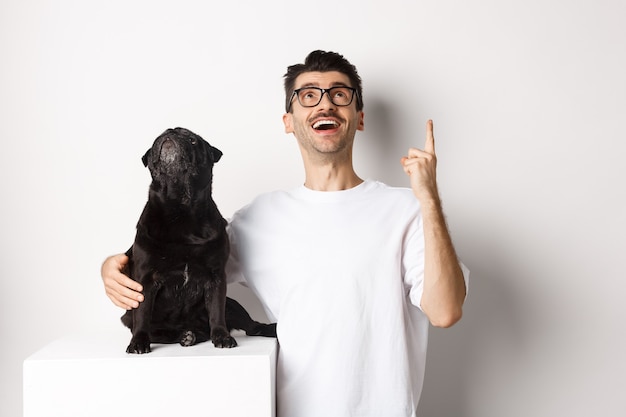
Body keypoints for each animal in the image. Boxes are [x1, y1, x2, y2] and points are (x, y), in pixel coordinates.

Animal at [120, 125, 274, 352]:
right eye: (156, 139)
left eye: (193, 140)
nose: (170, 134)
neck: (180, 208)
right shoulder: (145, 280)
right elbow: (142, 314)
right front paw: (138, 342)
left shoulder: (216, 278)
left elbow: (216, 312)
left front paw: (222, 336)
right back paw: (187, 335)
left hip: (233, 304)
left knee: (251, 327)